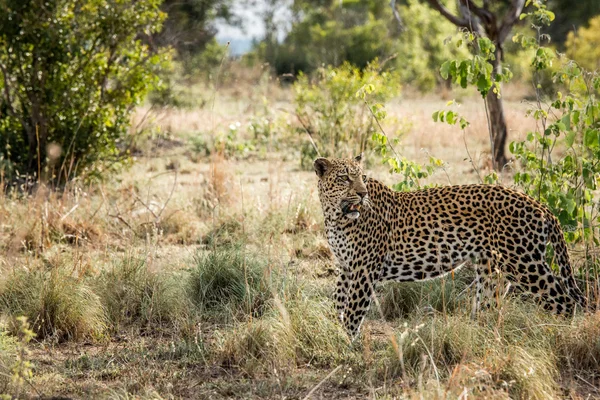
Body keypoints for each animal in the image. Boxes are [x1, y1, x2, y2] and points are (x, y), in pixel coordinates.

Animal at [316, 155, 588, 338]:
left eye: (362, 177)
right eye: (344, 178)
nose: (362, 194)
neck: (335, 216)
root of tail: (540, 205)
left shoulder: (364, 269)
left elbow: (353, 311)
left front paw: (348, 346)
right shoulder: (347, 268)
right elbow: (338, 303)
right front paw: (336, 334)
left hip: (524, 263)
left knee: (565, 302)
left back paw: (556, 338)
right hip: (491, 268)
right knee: (489, 307)